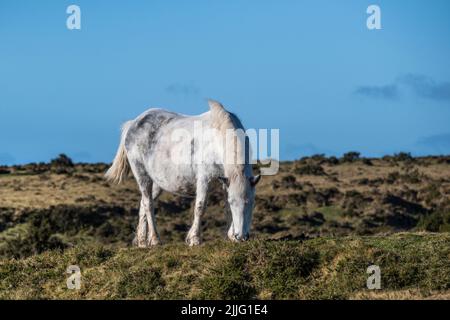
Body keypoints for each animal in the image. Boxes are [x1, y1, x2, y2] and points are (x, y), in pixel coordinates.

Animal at [105, 100, 260, 248]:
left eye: (252, 203)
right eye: (234, 202)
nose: (242, 236)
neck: (216, 141)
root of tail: (134, 123)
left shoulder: (225, 182)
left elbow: (227, 209)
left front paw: (231, 236)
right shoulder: (204, 179)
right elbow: (200, 206)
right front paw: (195, 239)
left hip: (157, 183)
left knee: (143, 204)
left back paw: (142, 242)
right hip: (142, 175)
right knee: (148, 204)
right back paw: (155, 240)